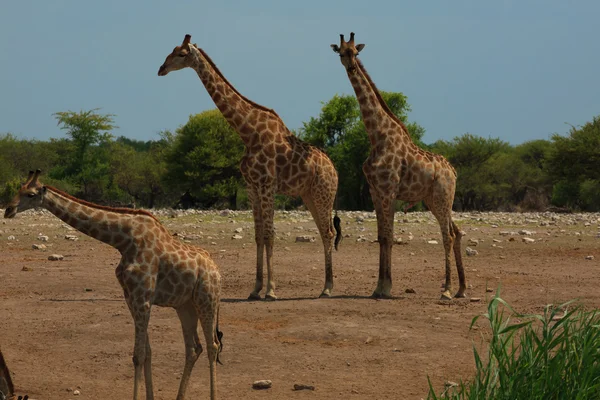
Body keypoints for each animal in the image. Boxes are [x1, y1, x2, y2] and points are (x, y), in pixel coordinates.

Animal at [3, 170, 224, 400]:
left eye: (30, 194)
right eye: (19, 189)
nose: (8, 210)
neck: (123, 240)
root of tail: (217, 271)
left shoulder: (143, 298)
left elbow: (138, 354)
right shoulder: (131, 297)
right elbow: (147, 352)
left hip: (207, 299)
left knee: (212, 345)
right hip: (185, 305)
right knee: (194, 348)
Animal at [158, 34, 342, 298]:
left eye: (181, 54)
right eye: (171, 50)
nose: (161, 68)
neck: (248, 133)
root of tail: (335, 170)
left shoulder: (267, 185)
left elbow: (269, 234)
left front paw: (271, 290)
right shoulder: (252, 187)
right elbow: (257, 236)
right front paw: (256, 289)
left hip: (323, 193)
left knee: (328, 233)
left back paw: (327, 288)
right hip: (309, 196)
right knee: (324, 232)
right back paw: (325, 286)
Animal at [330, 32, 466, 300]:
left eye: (356, 52)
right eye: (341, 52)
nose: (351, 67)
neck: (377, 136)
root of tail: (453, 171)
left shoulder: (389, 190)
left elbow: (390, 237)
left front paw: (386, 287)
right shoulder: (375, 191)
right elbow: (382, 237)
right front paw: (379, 287)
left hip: (443, 197)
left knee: (448, 234)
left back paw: (446, 289)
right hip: (435, 200)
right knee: (456, 232)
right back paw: (461, 289)